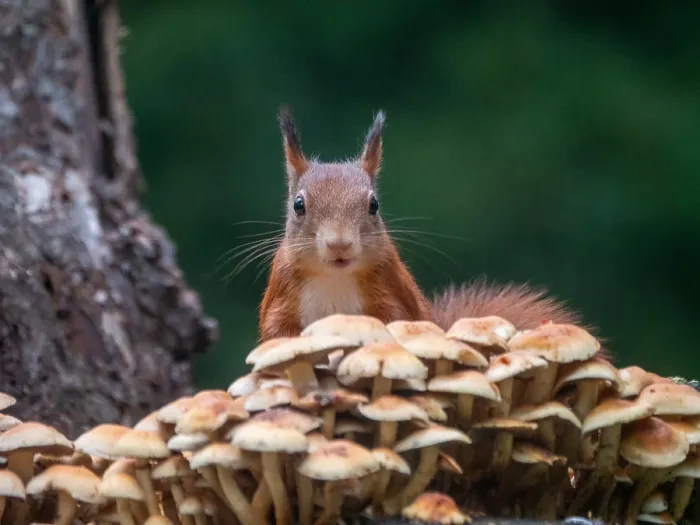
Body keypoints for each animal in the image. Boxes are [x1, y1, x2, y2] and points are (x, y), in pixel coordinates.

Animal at [258, 107, 580, 341]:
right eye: (299, 205)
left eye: (374, 205)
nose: (339, 244)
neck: (334, 277)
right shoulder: (281, 297)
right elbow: (277, 335)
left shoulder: (392, 291)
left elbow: (397, 321)